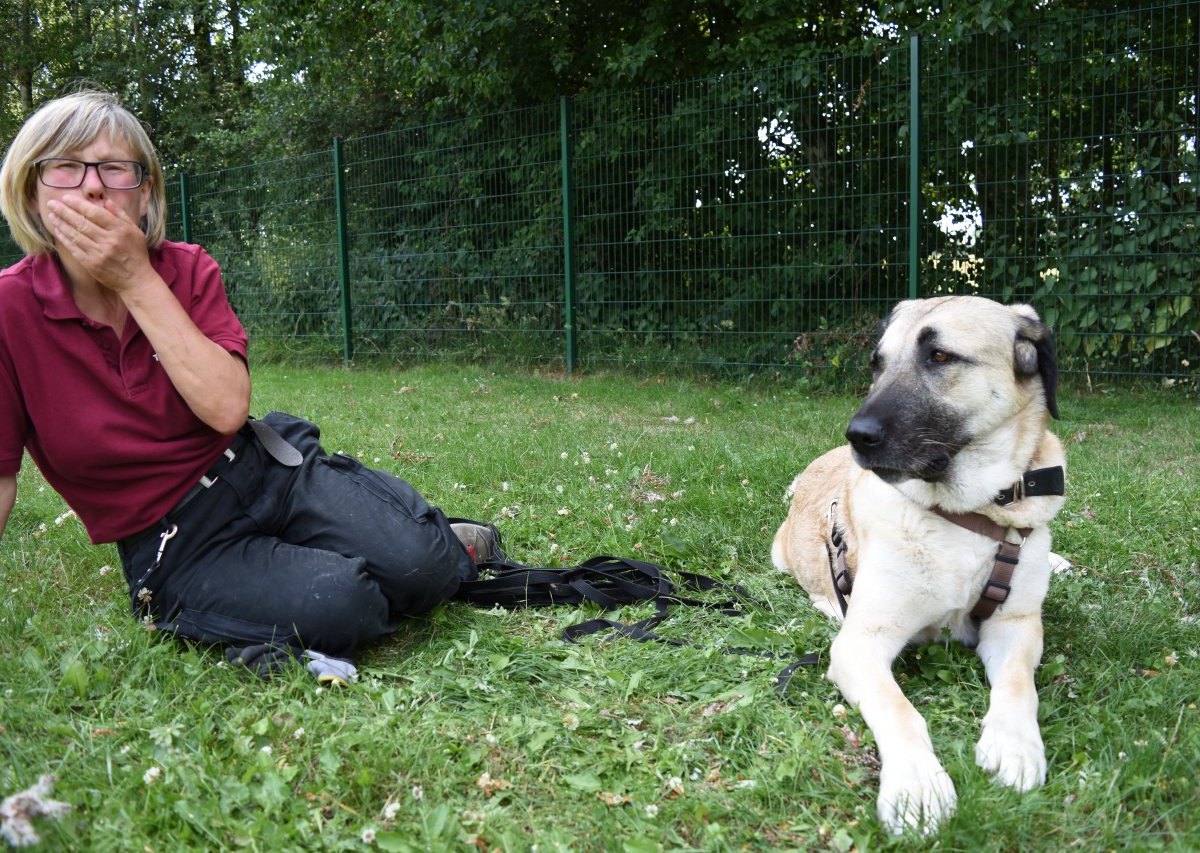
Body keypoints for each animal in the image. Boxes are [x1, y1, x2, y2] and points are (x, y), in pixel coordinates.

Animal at [772, 297, 1065, 839]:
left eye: (941, 356)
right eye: (878, 363)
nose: (857, 436)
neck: (969, 514)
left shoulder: (1016, 625)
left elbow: (1019, 684)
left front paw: (1014, 745)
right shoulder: (861, 644)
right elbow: (901, 711)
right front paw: (916, 786)